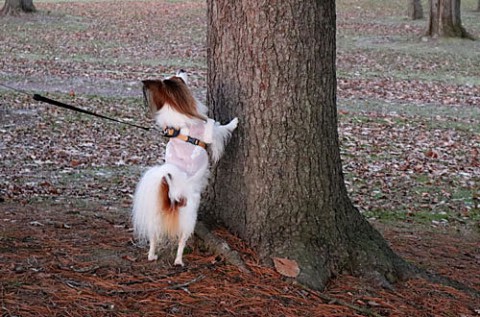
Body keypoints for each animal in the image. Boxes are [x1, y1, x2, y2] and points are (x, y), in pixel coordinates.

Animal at [132, 70, 237, 266]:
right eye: (178, 78)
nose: (182, 70)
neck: (181, 126)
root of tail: (172, 199)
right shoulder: (208, 135)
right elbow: (216, 125)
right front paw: (234, 122)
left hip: (155, 222)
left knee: (153, 238)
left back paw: (152, 255)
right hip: (189, 219)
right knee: (181, 241)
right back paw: (179, 260)